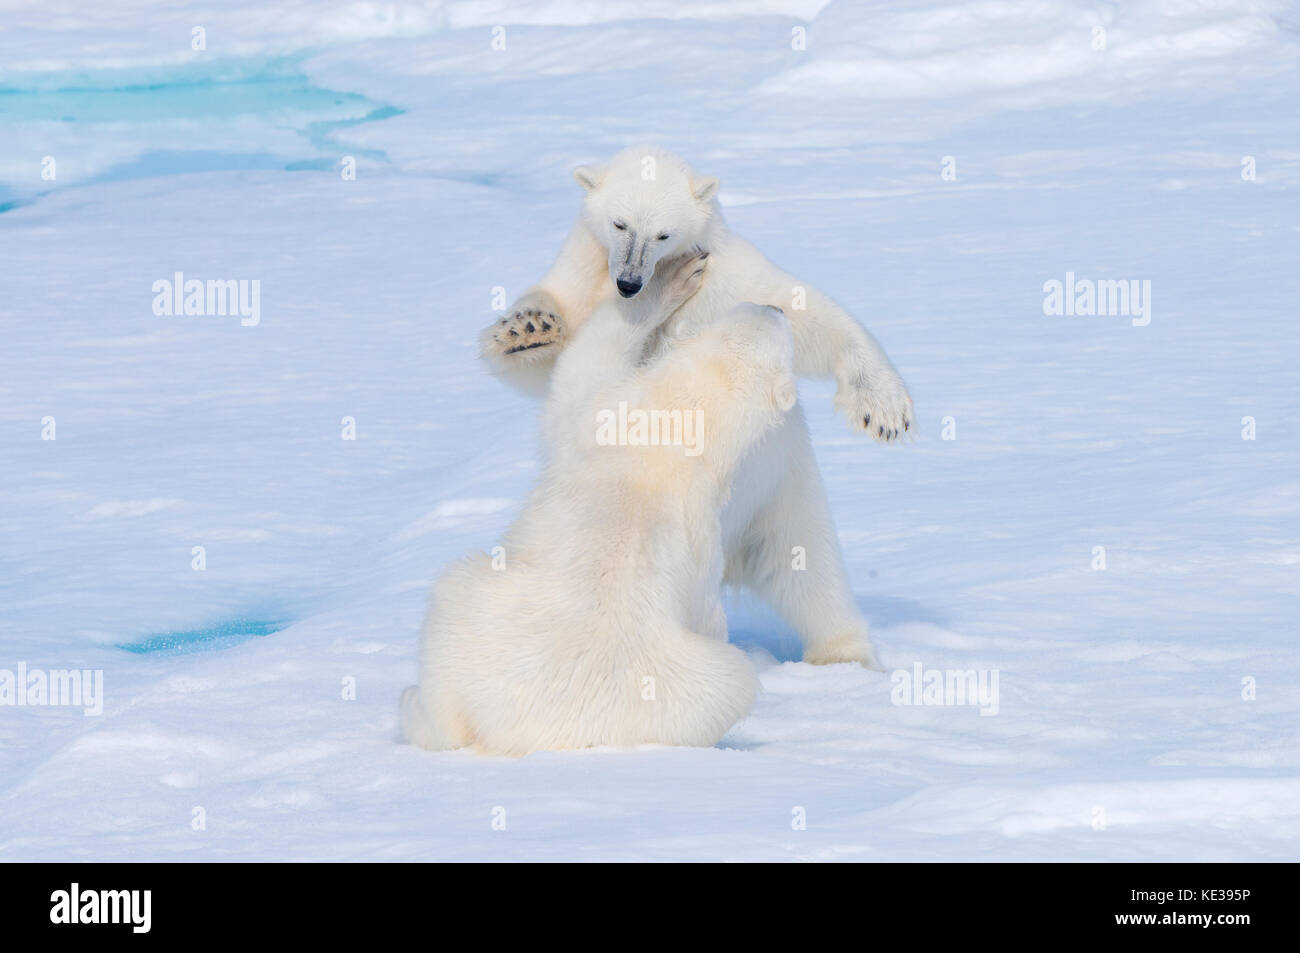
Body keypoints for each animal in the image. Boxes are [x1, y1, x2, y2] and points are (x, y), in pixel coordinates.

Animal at [400, 254, 795, 759]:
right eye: (756, 310)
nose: (778, 308)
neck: (676, 424)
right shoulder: (613, 422)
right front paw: (678, 275)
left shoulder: (610, 423)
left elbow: (581, 369)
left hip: (470, 612)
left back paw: (410, 702)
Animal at [480, 144, 915, 665]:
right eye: (619, 224)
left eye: (663, 234)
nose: (629, 284)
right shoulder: (584, 272)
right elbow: (550, 361)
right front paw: (526, 329)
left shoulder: (726, 274)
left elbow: (803, 312)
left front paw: (884, 408)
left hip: (780, 493)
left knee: (810, 570)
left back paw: (842, 655)